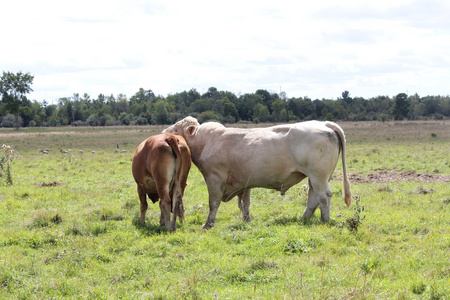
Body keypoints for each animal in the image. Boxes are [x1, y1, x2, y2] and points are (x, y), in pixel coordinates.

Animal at [163, 116, 352, 229]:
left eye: (176, 130)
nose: (164, 132)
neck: (206, 142)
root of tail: (323, 123)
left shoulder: (214, 179)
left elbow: (213, 203)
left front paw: (208, 225)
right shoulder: (244, 182)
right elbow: (245, 204)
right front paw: (246, 221)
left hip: (318, 176)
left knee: (323, 197)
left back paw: (324, 220)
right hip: (314, 178)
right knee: (313, 198)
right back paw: (304, 219)